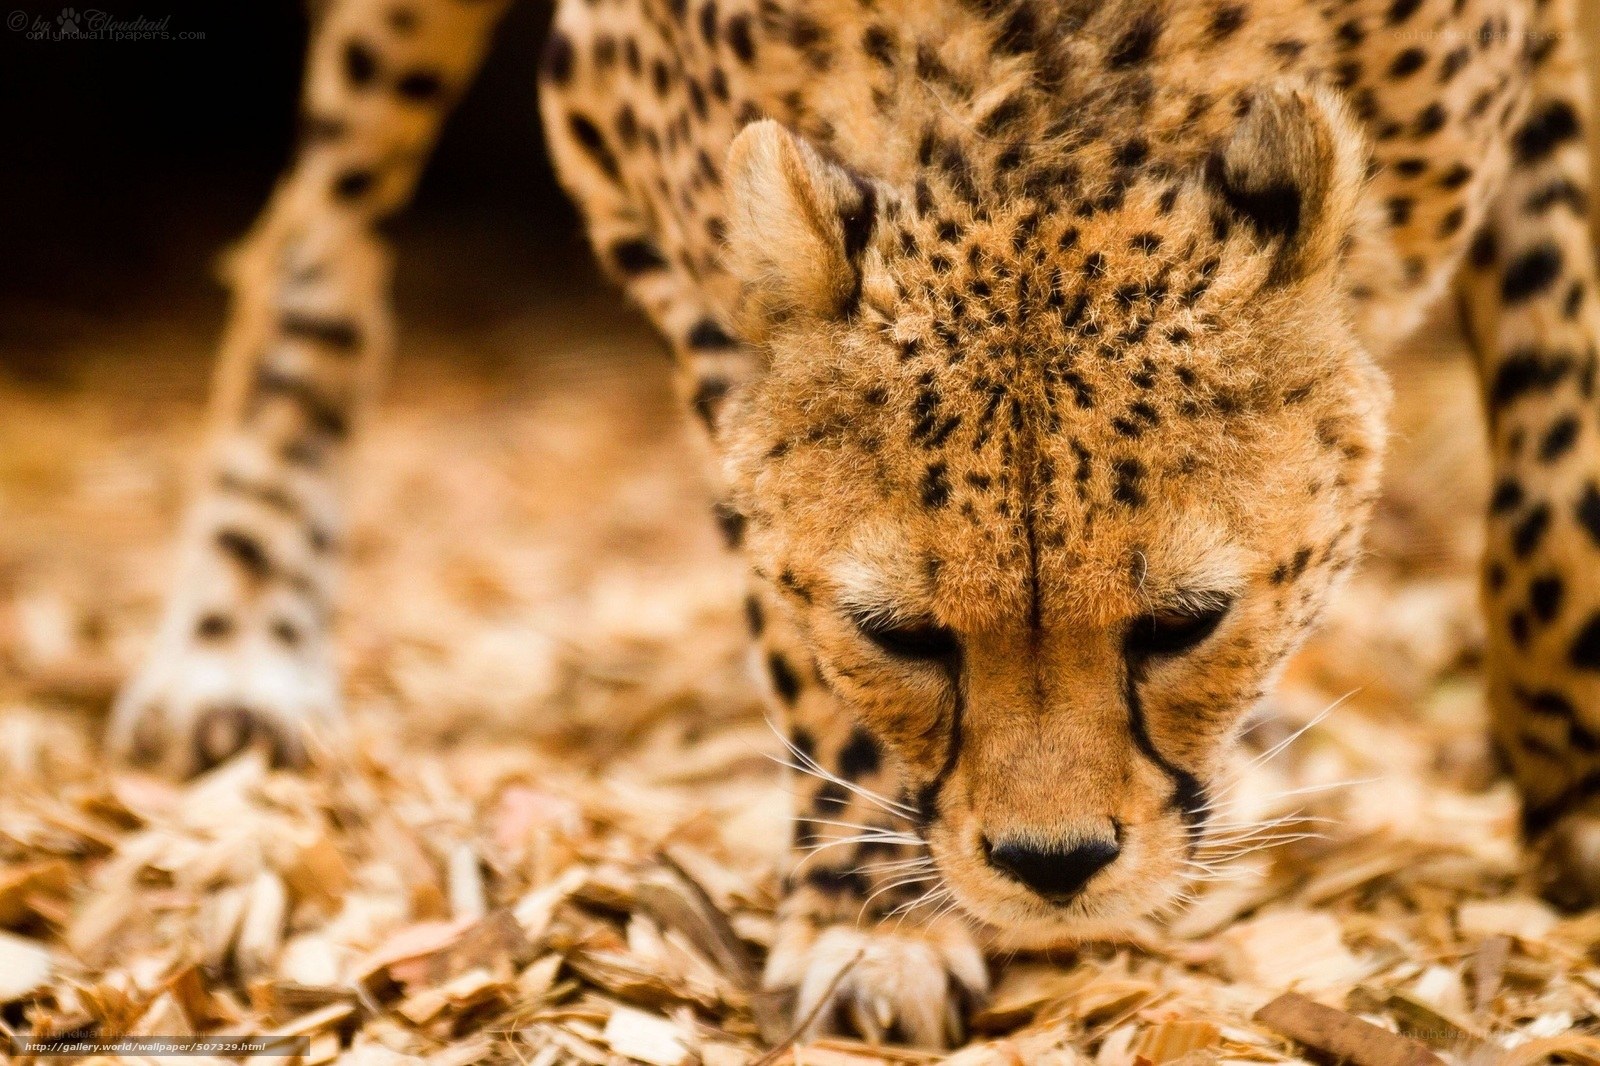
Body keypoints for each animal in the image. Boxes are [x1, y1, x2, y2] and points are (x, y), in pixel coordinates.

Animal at [108, 0, 1600, 1048]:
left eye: (1186, 624)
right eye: (904, 633)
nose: (1053, 867)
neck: (1053, 98)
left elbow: (1560, 465)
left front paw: (1580, 798)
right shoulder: (626, 159)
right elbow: (786, 605)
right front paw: (874, 915)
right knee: (317, 236)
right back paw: (236, 646)